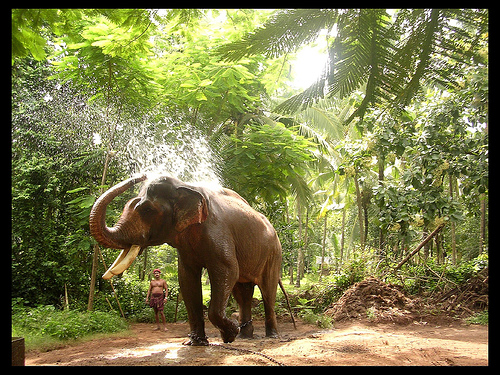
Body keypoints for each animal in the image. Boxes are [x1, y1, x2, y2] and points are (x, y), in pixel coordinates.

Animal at [90, 175, 292, 346]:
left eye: (147, 210)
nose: (142, 175)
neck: (185, 185)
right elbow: (187, 278)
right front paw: (196, 343)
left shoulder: (217, 231)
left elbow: (227, 270)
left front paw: (229, 334)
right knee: (242, 292)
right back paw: (244, 336)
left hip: (274, 253)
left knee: (267, 291)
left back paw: (270, 336)